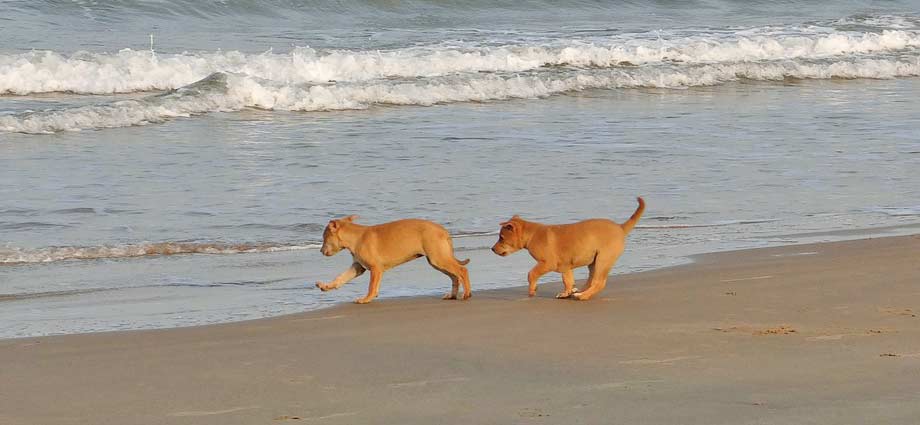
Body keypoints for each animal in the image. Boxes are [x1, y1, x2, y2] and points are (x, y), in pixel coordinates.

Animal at [318, 217, 474, 304]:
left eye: (324, 237)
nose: (320, 251)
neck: (356, 238)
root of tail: (443, 230)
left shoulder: (375, 269)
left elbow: (371, 286)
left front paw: (367, 298)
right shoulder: (357, 267)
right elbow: (340, 278)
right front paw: (326, 286)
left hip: (439, 258)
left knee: (462, 271)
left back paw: (466, 294)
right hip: (436, 261)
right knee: (455, 276)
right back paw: (452, 295)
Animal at [488, 197, 648, 300]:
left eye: (501, 237)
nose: (492, 249)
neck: (532, 234)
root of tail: (620, 228)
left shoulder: (547, 263)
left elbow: (531, 274)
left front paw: (532, 290)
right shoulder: (565, 266)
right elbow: (568, 280)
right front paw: (566, 292)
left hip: (603, 260)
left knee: (599, 283)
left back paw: (583, 296)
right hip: (594, 262)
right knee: (591, 280)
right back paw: (579, 291)